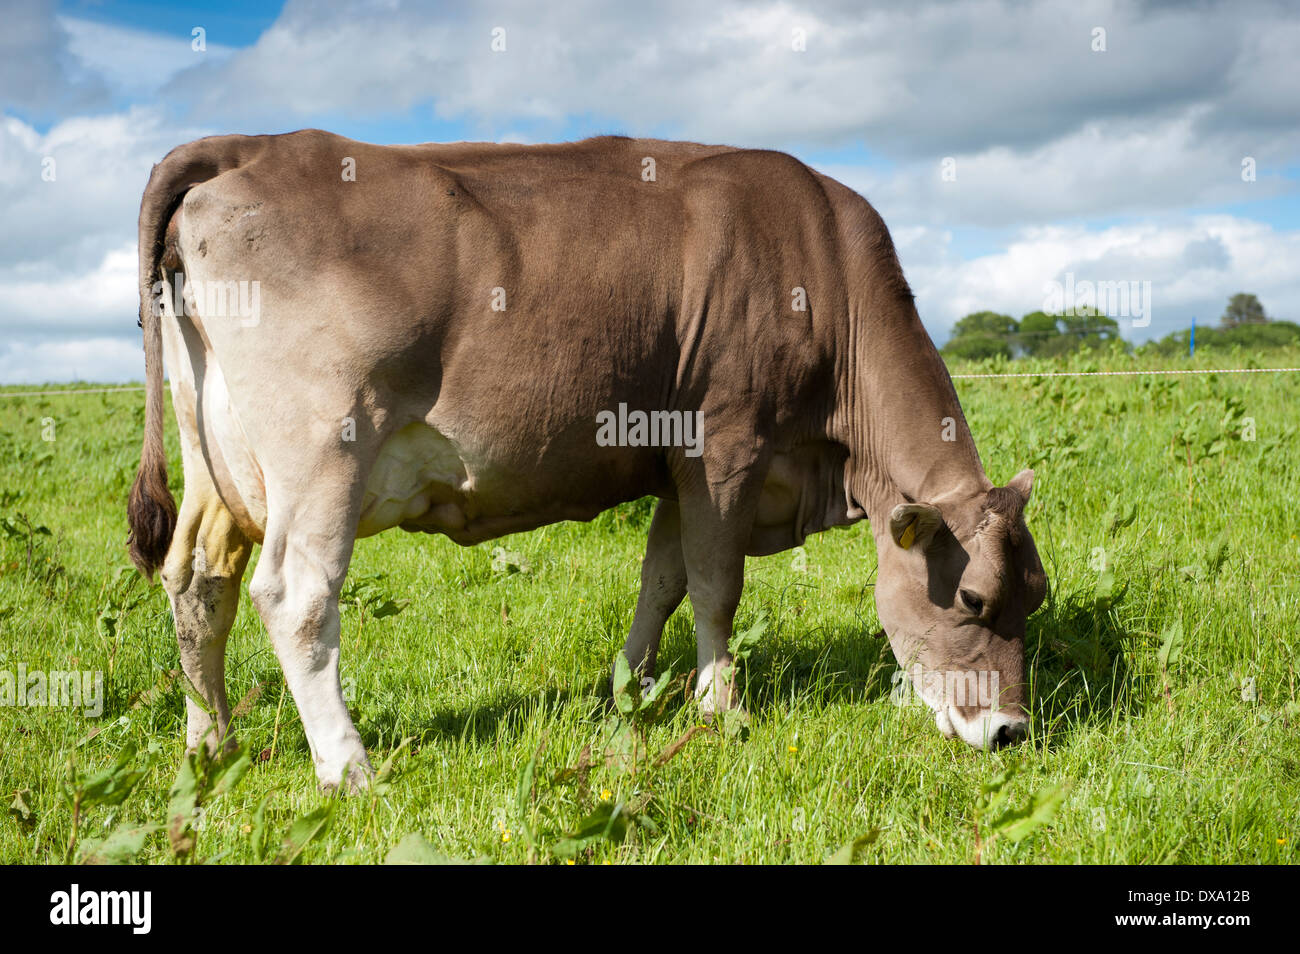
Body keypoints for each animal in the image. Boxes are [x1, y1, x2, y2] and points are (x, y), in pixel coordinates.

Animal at [127, 131, 1047, 791]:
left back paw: (210, 743)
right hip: (323, 447)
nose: (1010, 732)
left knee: (197, 579)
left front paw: (627, 691)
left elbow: (662, 577)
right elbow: (716, 585)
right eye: (970, 598)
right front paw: (722, 710)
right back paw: (347, 766)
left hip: (215, 455)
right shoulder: (725, 444)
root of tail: (252, 145)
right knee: (296, 595)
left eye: (1035, 596)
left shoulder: (675, 465)